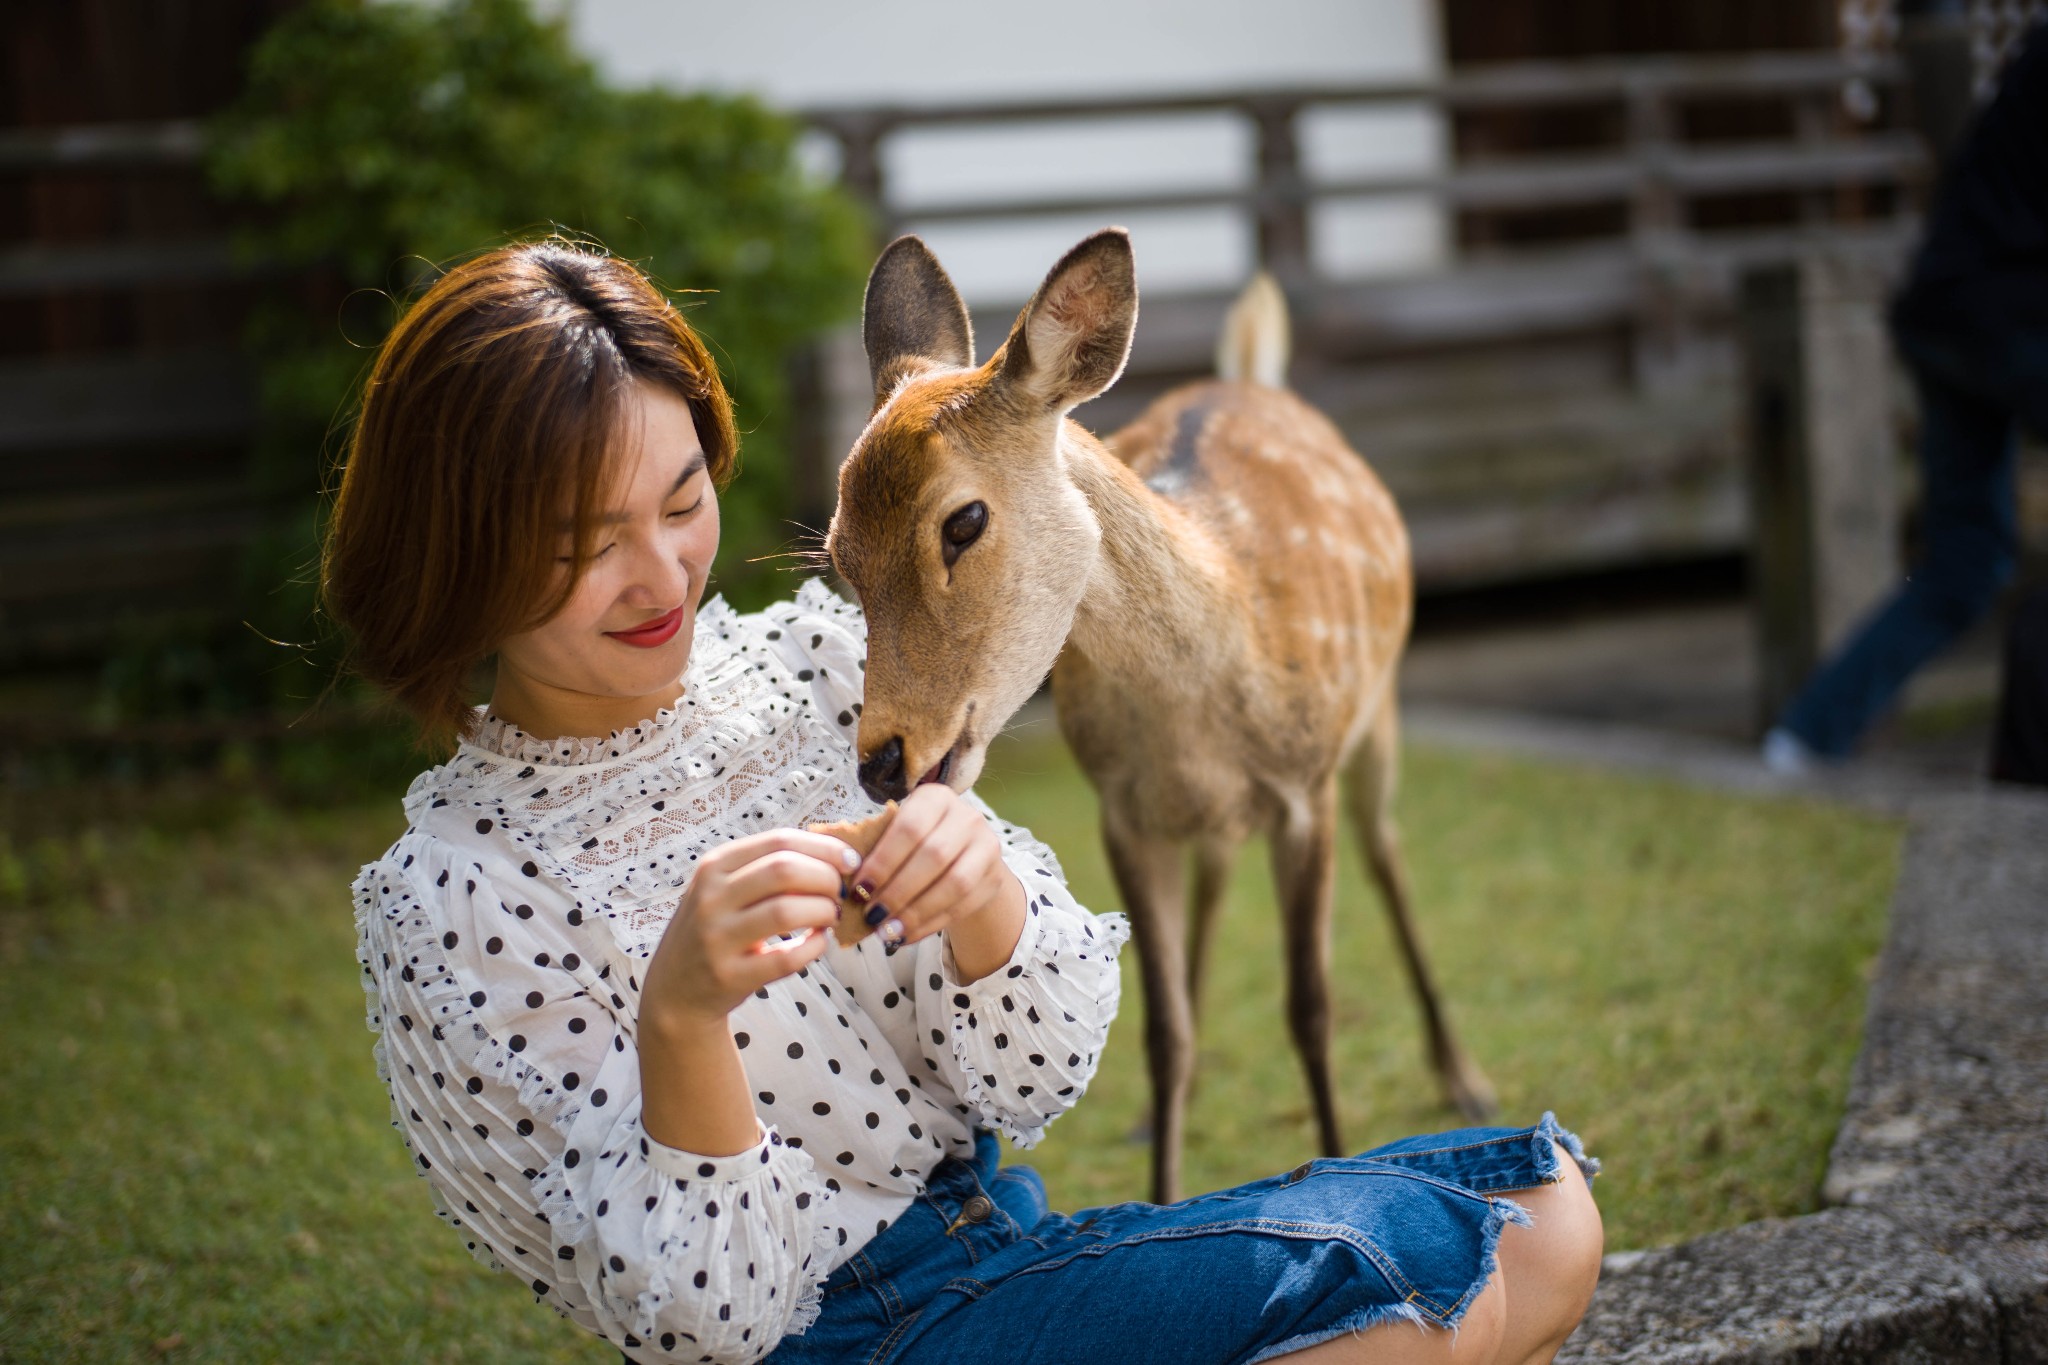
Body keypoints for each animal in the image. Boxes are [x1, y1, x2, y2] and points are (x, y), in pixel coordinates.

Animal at [823, 229, 1499, 1203]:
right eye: (837, 551)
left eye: (964, 521)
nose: (883, 759)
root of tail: (1253, 374)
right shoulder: (1123, 808)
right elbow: (1162, 1028)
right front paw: (1163, 1191)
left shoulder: (1305, 787)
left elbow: (1311, 1005)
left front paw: (1336, 1153)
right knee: (1215, 885)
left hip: (1375, 716)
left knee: (1389, 854)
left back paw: (1464, 1074)